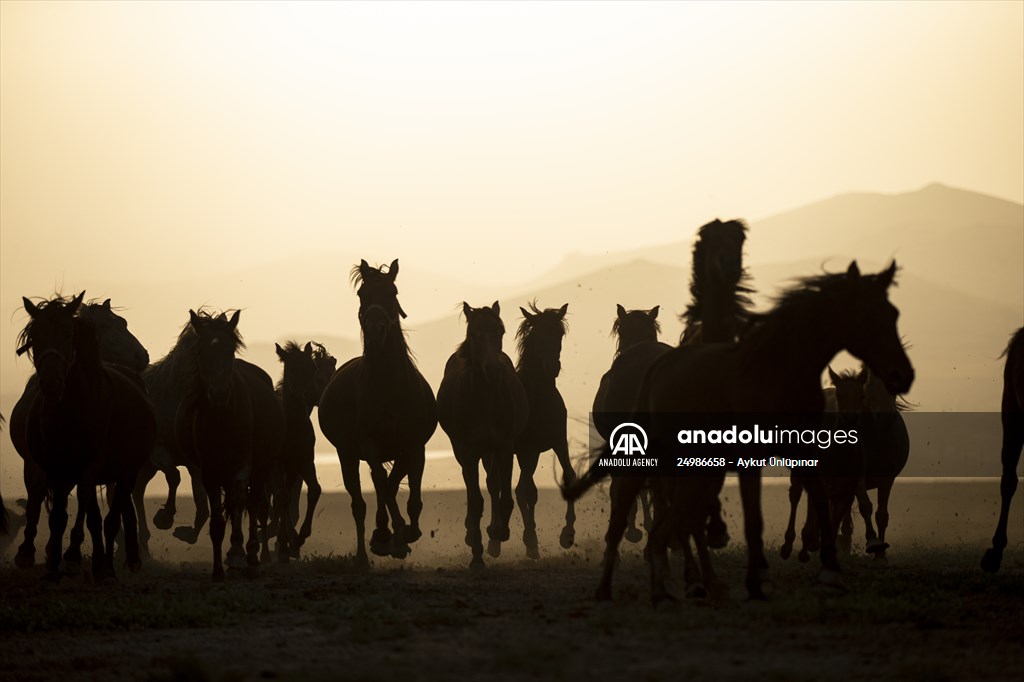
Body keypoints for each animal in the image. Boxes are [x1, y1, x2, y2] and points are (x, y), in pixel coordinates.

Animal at [10, 292, 157, 580]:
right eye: (106, 326)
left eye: (123, 322)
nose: (141, 355)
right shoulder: (43, 465)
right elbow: (43, 503)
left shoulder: (94, 468)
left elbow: (101, 508)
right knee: (40, 498)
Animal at [318, 259, 438, 568]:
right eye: (362, 294)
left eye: (392, 292)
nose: (375, 329)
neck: (388, 385)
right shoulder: (368, 444)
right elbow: (383, 483)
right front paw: (387, 535)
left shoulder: (414, 446)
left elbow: (401, 489)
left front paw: (404, 533)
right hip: (347, 455)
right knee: (359, 502)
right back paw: (364, 554)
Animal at [437, 302, 528, 567]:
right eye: (474, 333)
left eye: (500, 331)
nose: (494, 369)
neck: (486, 398)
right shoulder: (467, 450)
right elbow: (475, 500)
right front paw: (476, 554)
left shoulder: (504, 446)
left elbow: (503, 494)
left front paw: (499, 533)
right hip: (464, 450)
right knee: (474, 487)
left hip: (491, 451)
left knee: (493, 483)